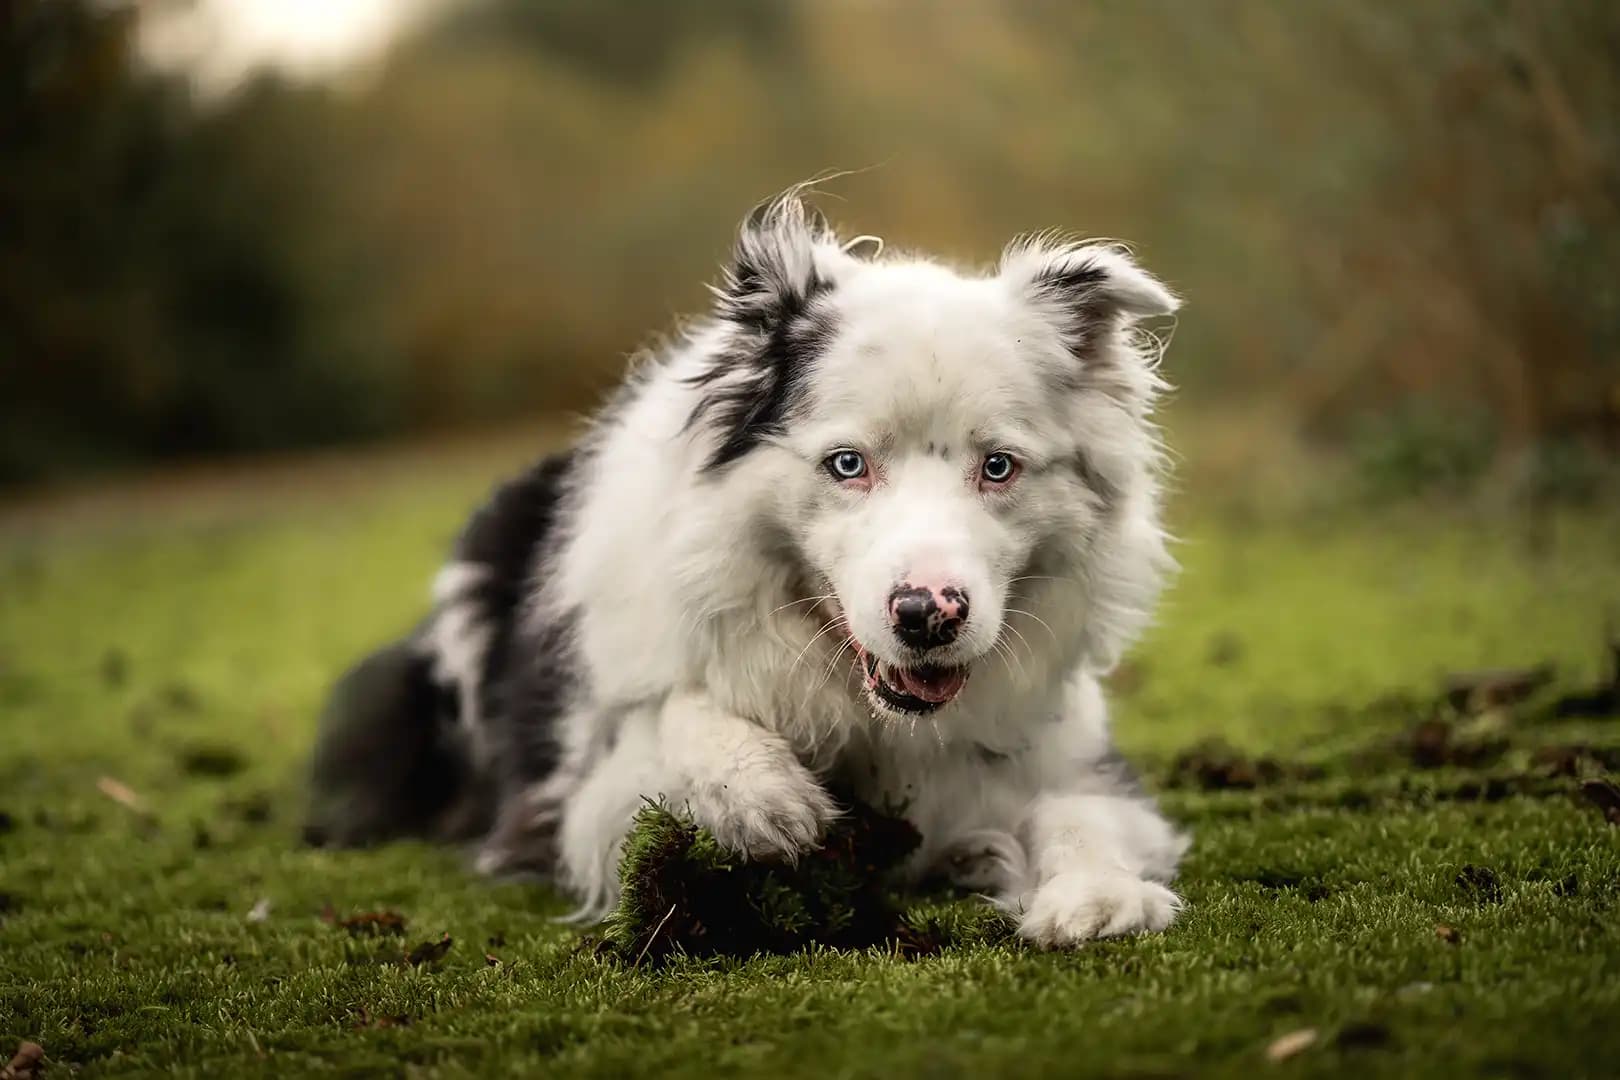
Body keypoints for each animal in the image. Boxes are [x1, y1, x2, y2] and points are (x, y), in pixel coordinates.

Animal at [306, 194, 1192, 945]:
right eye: (847, 463)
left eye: (999, 467)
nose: (928, 615)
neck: (872, 711)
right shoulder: (578, 793)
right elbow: (674, 715)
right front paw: (762, 795)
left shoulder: (1072, 755)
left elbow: (1080, 811)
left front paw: (1095, 894)